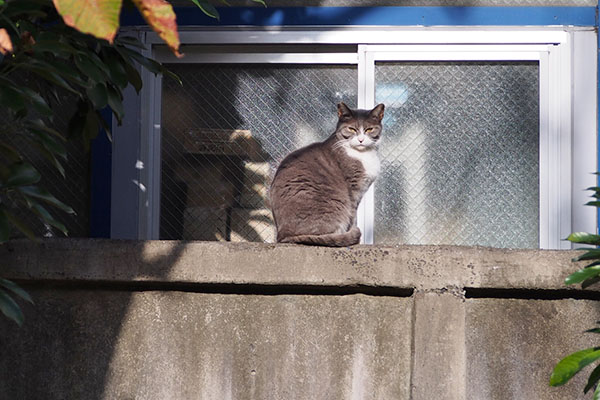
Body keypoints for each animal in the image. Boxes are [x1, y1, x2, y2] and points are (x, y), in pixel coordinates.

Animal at [270, 102, 384, 247]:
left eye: (369, 129)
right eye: (351, 129)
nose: (361, 139)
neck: (363, 154)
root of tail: (282, 235)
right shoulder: (353, 189)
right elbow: (352, 215)